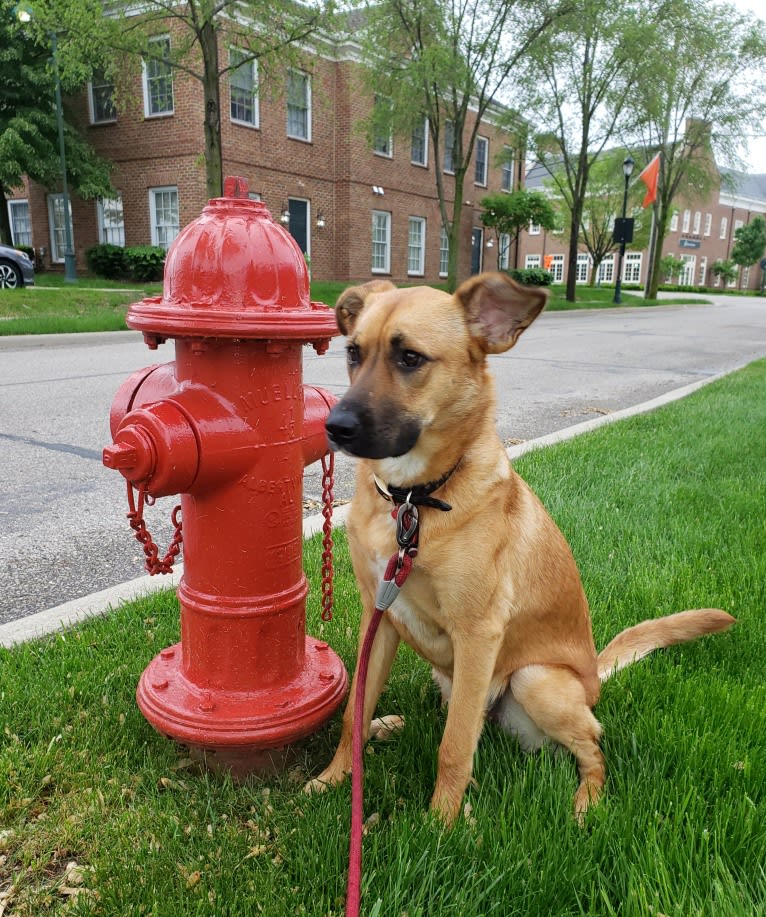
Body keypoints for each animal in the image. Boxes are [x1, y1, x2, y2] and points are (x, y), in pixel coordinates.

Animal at [308, 274, 736, 824]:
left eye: (410, 358)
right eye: (353, 353)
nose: (333, 427)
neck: (414, 501)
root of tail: (594, 678)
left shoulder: (478, 632)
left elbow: (454, 746)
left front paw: (441, 823)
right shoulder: (377, 619)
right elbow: (353, 716)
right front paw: (332, 780)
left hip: (534, 680)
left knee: (590, 746)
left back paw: (586, 802)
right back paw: (392, 725)